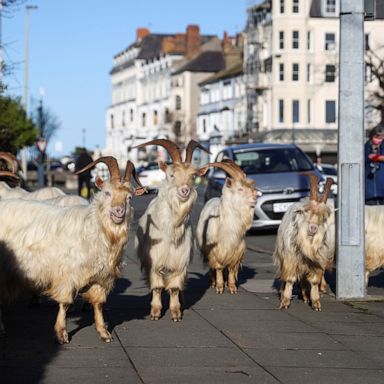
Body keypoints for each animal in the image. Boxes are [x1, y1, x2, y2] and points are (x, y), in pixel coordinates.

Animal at [0, 158, 146, 344]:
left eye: (129, 197)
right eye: (107, 193)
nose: (119, 211)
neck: (94, 228)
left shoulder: (101, 276)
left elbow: (98, 303)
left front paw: (104, 332)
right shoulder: (67, 273)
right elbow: (65, 303)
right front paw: (61, 334)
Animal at [135, 138, 210, 320]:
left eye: (193, 176)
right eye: (171, 174)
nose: (185, 190)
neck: (171, 230)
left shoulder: (179, 261)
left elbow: (175, 287)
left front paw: (176, 312)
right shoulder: (154, 260)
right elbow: (156, 287)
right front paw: (155, 312)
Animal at [198, 159, 258, 294]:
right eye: (240, 189)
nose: (255, 196)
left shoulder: (236, 250)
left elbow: (231, 269)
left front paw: (232, 287)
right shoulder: (215, 250)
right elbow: (219, 268)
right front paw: (220, 287)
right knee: (212, 268)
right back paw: (213, 283)